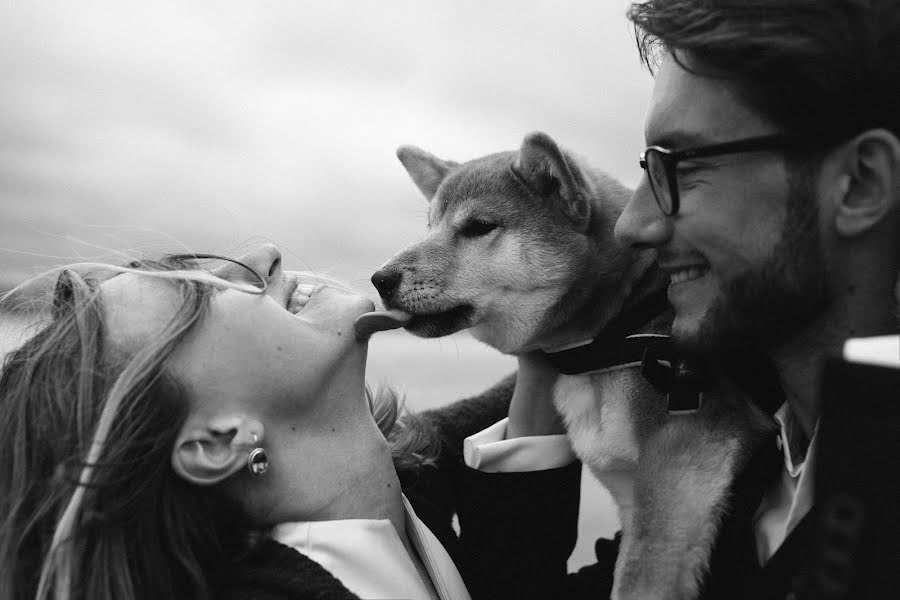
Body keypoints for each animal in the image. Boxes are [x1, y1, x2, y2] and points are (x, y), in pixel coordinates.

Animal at [372, 132, 772, 600]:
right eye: (430, 227)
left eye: (477, 227)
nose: (380, 280)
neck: (622, 320)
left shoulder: (686, 446)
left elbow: (640, 579)